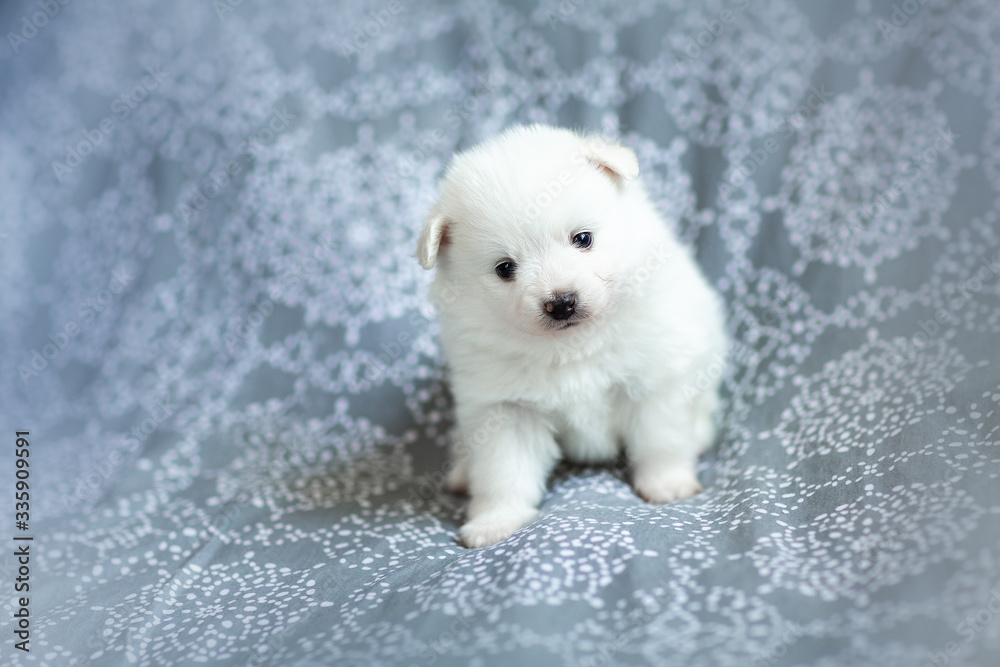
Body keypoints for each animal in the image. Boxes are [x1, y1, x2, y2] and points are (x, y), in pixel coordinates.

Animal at [414, 125, 728, 548]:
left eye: (582, 238)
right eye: (504, 268)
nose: (561, 303)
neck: (571, 346)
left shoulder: (653, 379)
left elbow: (659, 438)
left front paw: (668, 483)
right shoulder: (504, 409)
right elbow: (502, 471)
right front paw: (495, 521)